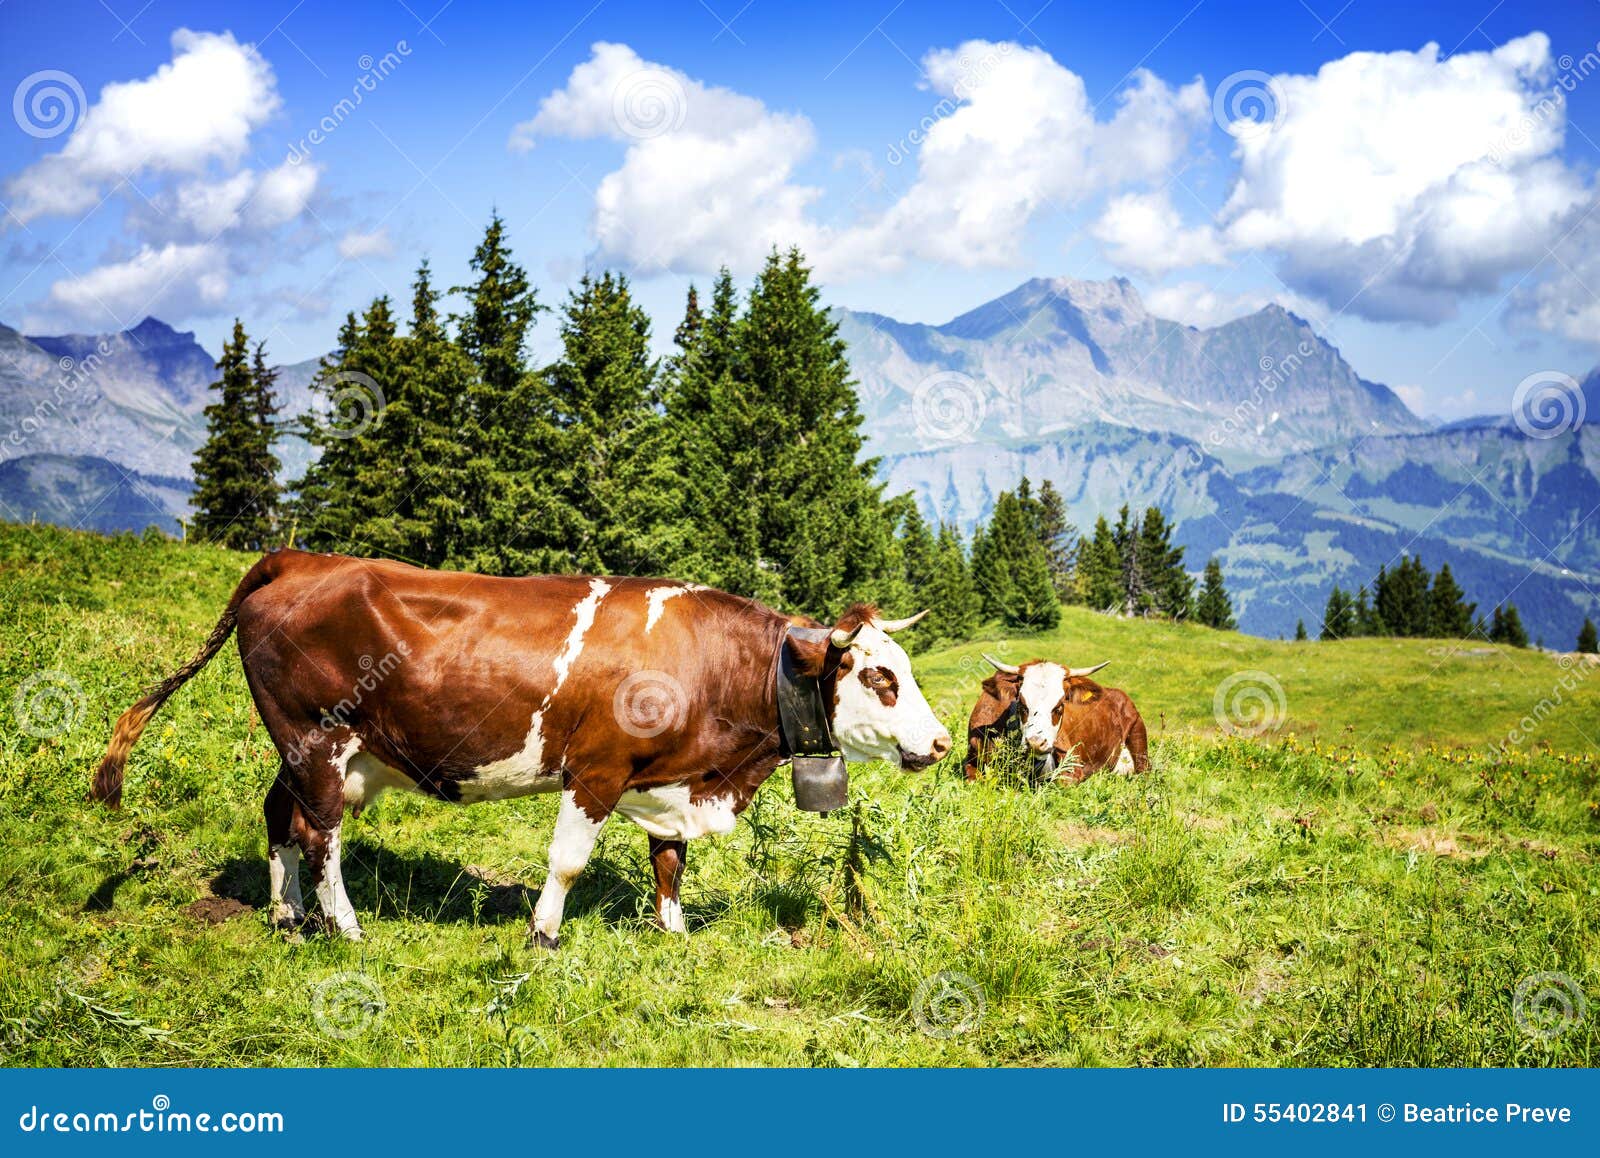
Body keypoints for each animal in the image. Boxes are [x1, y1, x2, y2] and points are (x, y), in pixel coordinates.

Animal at [93, 547, 947, 946]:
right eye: (879, 675)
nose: (940, 742)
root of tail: (302, 558)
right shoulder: (597, 769)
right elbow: (567, 861)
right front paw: (543, 933)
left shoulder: (670, 782)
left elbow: (669, 859)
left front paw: (672, 932)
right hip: (317, 737)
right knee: (320, 833)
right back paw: (345, 926)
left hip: (306, 749)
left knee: (279, 816)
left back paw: (286, 913)